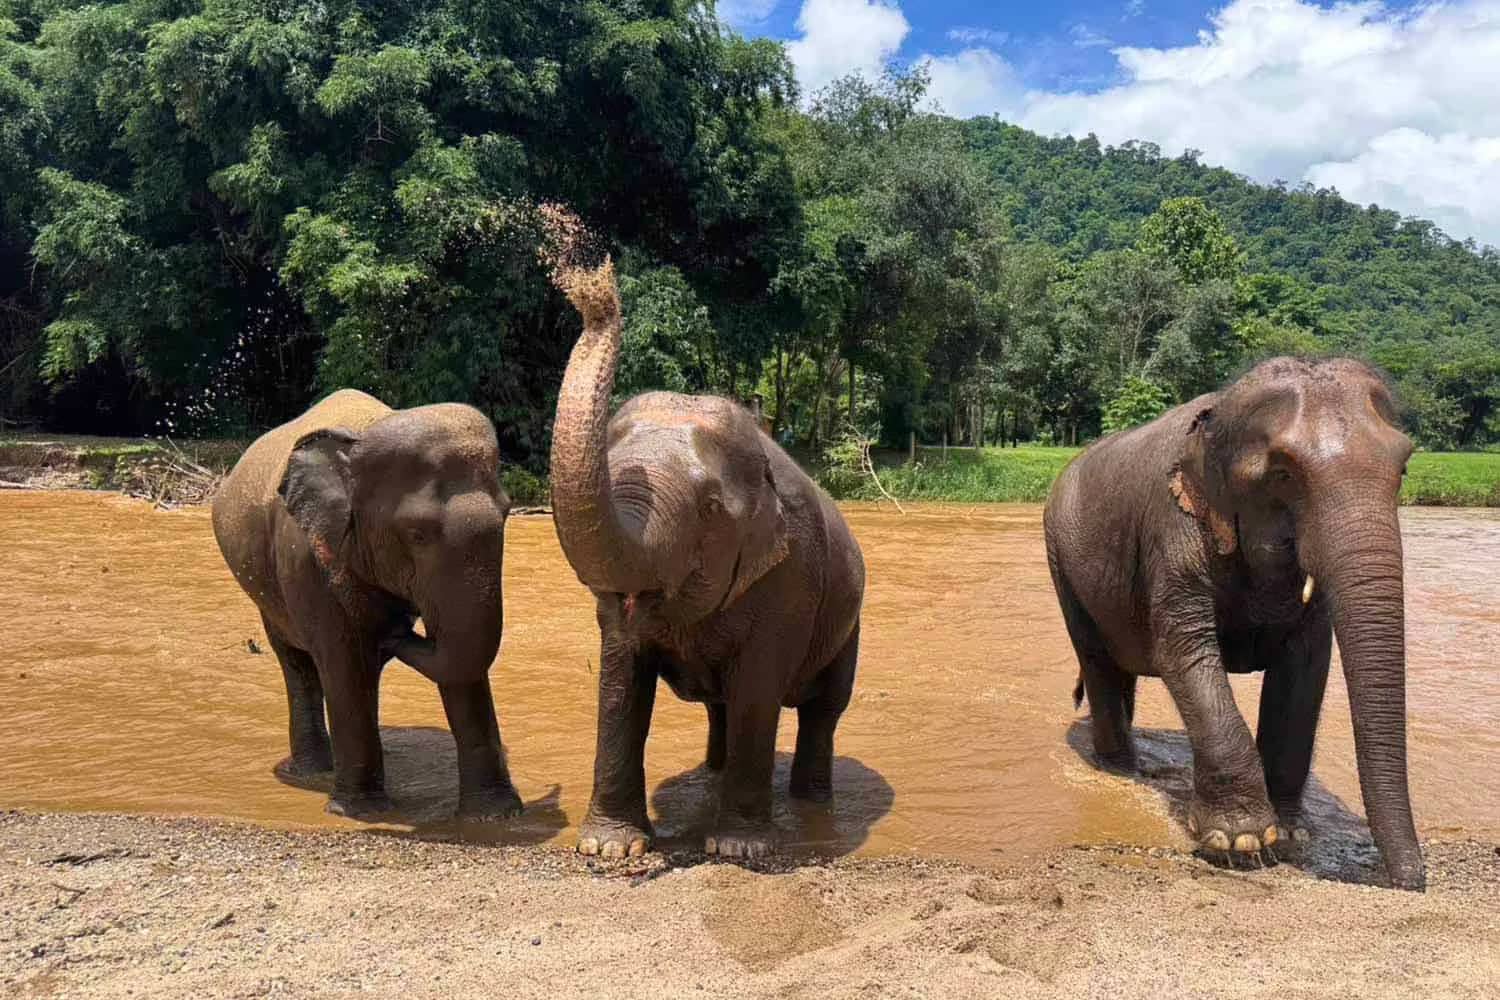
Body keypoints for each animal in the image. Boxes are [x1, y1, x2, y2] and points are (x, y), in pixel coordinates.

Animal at [211, 389, 523, 820]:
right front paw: (360, 813)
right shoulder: (308, 559)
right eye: (416, 534)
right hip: (266, 590)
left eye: (507, 516)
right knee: (299, 662)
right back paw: (315, 773)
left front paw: (494, 817)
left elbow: (459, 660)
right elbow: (344, 660)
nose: (399, 627)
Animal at [548, 259, 865, 860]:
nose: (594, 288)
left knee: (823, 712)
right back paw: (713, 776)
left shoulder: (792, 580)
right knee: (722, 708)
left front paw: (740, 849)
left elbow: (757, 693)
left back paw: (811, 805)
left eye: (711, 508)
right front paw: (609, 848)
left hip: (849, 623)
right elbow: (622, 678)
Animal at [1044, 357, 1424, 891]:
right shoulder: (1174, 530)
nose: (1413, 881)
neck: (1220, 413)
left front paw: (1289, 834)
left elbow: (1305, 670)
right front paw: (1240, 843)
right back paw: (1121, 770)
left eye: (1404, 467)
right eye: (1283, 473)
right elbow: (1184, 652)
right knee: (1098, 662)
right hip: (1061, 558)